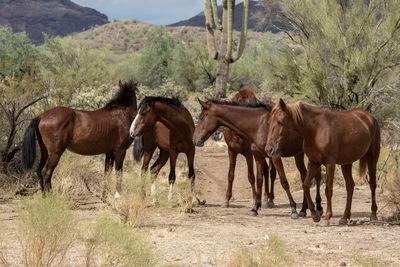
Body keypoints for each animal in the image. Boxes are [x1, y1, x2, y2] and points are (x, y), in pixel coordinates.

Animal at [192, 99, 324, 219]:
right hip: (298, 154)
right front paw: (255, 208)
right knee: (305, 176)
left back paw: (317, 208)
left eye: (201, 117)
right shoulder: (257, 155)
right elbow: (259, 179)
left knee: (316, 177)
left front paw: (293, 209)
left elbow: (284, 182)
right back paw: (304, 209)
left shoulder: (274, 156)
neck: (259, 125)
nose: (194, 140)